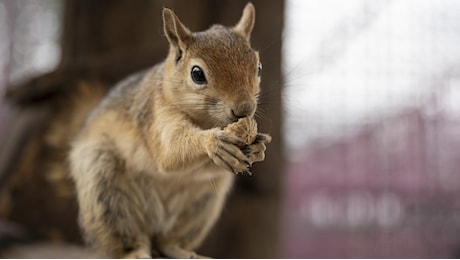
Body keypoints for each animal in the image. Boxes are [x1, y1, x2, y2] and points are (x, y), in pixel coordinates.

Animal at [68, 2, 270, 258]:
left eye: (259, 67)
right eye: (197, 74)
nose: (244, 109)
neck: (206, 121)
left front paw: (259, 147)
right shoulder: (157, 114)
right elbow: (170, 152)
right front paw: (214, 143)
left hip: (202, 205)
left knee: (166, 241)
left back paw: (182, 250)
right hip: (105, 191)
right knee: (129, 238)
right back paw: (135, 252)